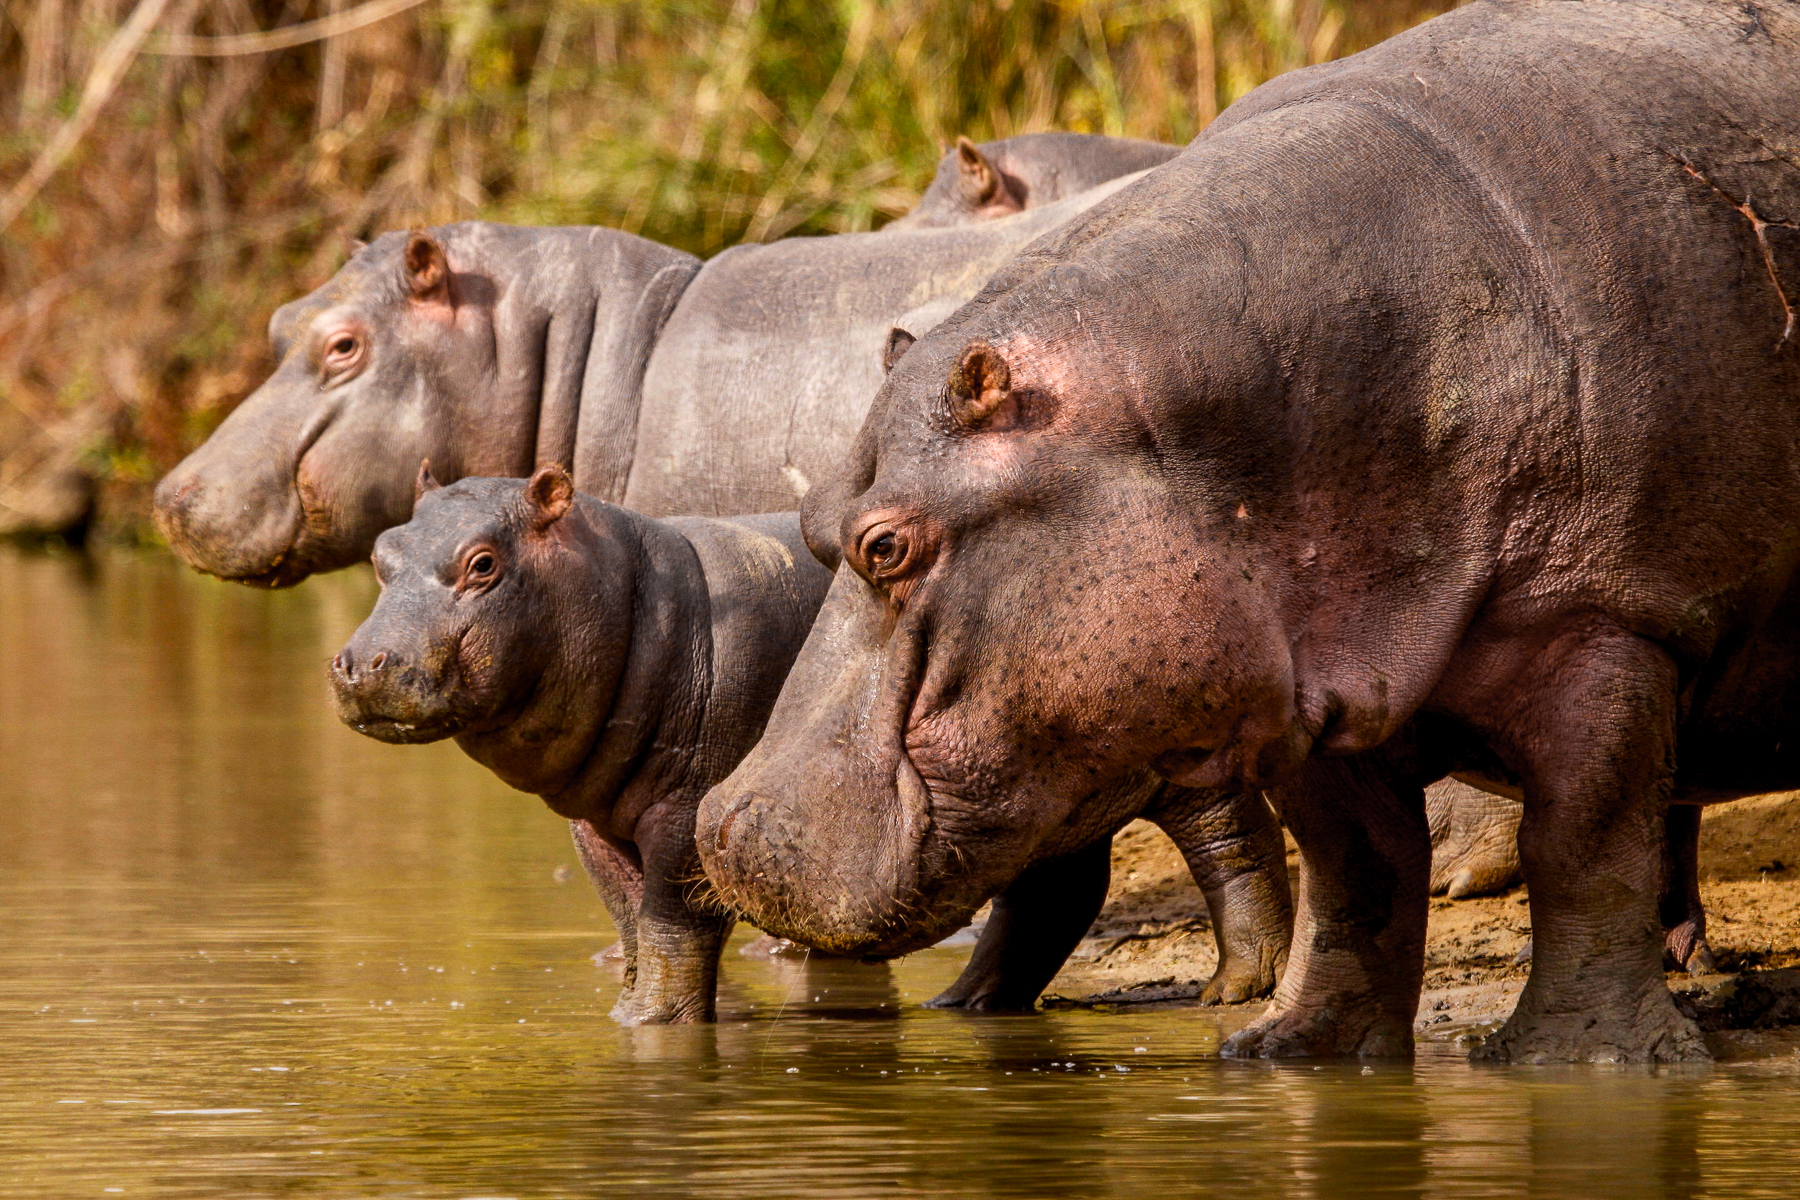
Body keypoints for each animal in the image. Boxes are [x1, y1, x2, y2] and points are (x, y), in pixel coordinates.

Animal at [330, 465, 1293, 1021]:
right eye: (380, 552)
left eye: (484, 563)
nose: (363, 663)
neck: (628, 594)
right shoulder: (592, 825)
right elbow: (629, 923)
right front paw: (627, 1017)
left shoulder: (687, 810)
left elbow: (673, 924)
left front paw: (658, 1025)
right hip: (1022, 773)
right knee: (1056, 887)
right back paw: (961, 1004)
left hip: (1174, 747)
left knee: (1231, 842)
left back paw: (1239, 986)